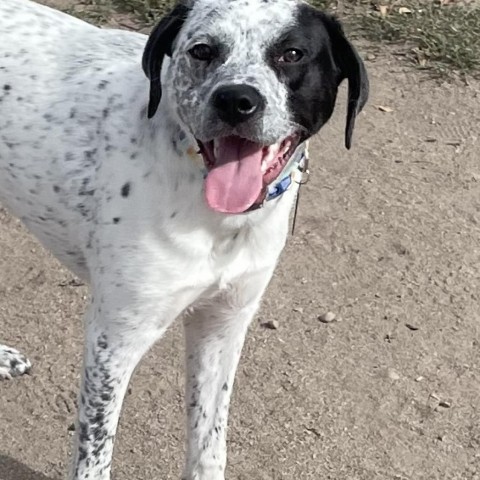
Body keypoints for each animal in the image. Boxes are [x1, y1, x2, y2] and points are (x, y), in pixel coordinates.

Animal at [0, 0, 370, 478]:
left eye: (292, 54)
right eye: (202, 50)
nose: (236, 100)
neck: (218, 221)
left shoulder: (223, 323)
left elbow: (209, 445)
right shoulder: (113, 339)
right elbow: (95, 455)